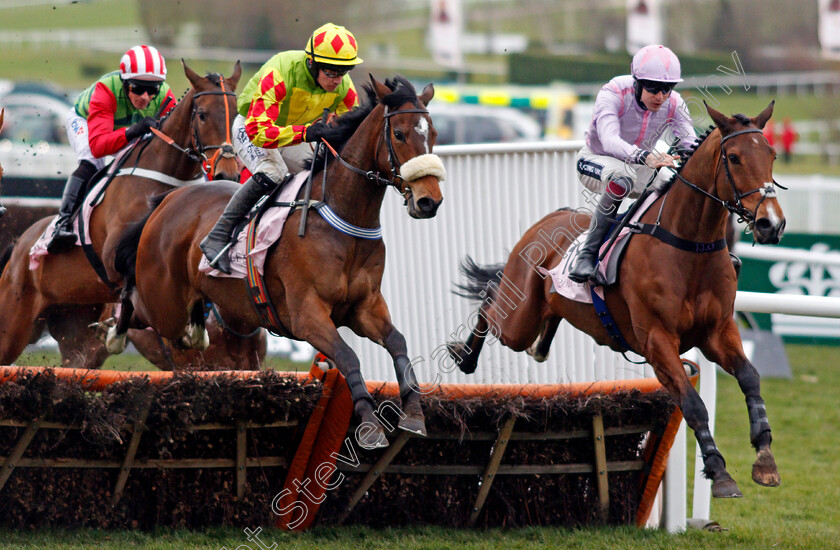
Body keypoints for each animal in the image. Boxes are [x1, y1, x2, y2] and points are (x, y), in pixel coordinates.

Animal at [0, 62, 249, 368]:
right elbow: (130, 278)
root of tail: (18, 248)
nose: (228, 173)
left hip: (73, 330)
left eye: (236, 116)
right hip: (13, 321)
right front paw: (118, 329)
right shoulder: (112, 258)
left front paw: (194, 331)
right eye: (202, 115)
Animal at [115, 74, 446, 444]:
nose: (429, 201)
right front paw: (369, 422)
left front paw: (413, 413)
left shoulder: (365, 307)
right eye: (399, 134)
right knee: (138, 308)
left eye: (433, 134)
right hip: (163, 303)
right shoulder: (306, 314)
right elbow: (347, 356)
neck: (341, 217)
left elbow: (398, 341)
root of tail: (169, 198)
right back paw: (114, 329)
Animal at [450, 103, 784, 500]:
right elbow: (693, 403)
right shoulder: (657, 341)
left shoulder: (717, 331)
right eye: (733, 158)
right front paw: (719, 472)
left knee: (538, 331)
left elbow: (750, 377)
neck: (688, 246)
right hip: (517, 321)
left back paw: (534, 346)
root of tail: (546, 222)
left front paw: (765, 457)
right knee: (490, 304)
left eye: (772, 155)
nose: (771, 224)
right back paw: (464, 355)